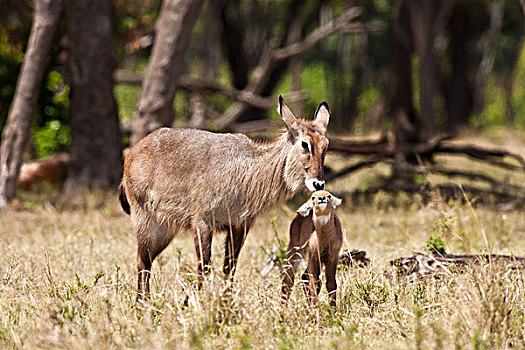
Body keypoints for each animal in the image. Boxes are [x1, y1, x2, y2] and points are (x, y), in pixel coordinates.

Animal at [121, 95, 330, 298]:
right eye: (305, 144)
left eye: (326, 146)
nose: (318, 184)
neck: (246, 174)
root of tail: (132, 153)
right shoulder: (202, 222)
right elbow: (204, 268)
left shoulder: (239, 225)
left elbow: (229, 268)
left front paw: (226, 304)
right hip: (145, 222)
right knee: (142, 262)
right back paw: (141, 305)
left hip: (165, 230)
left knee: (146, 261)